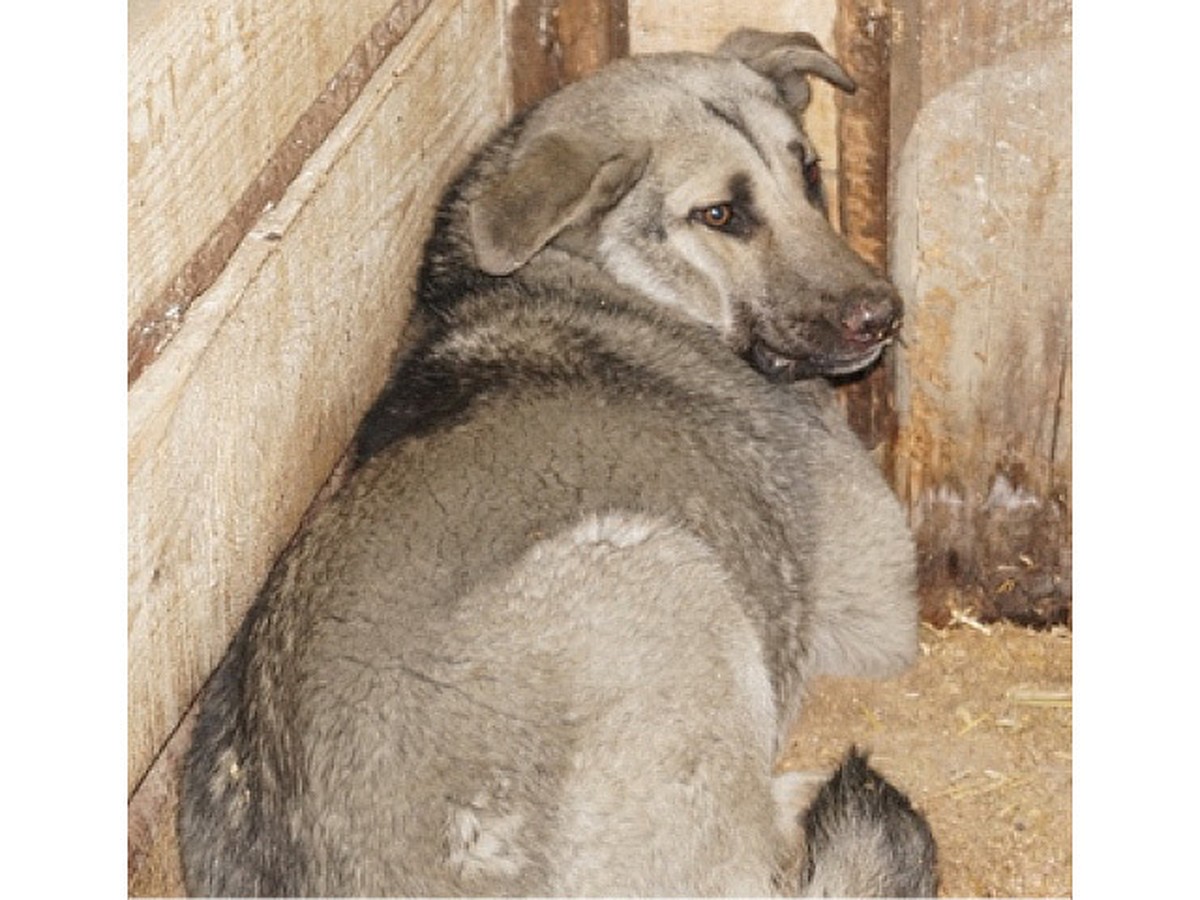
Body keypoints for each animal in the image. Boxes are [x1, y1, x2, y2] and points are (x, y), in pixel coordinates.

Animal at [177, 26, 936, 897]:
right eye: (720, 214)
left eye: (808, 172)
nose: (883, 315)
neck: (584, 275)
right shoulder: (873, 599)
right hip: (658, 564)